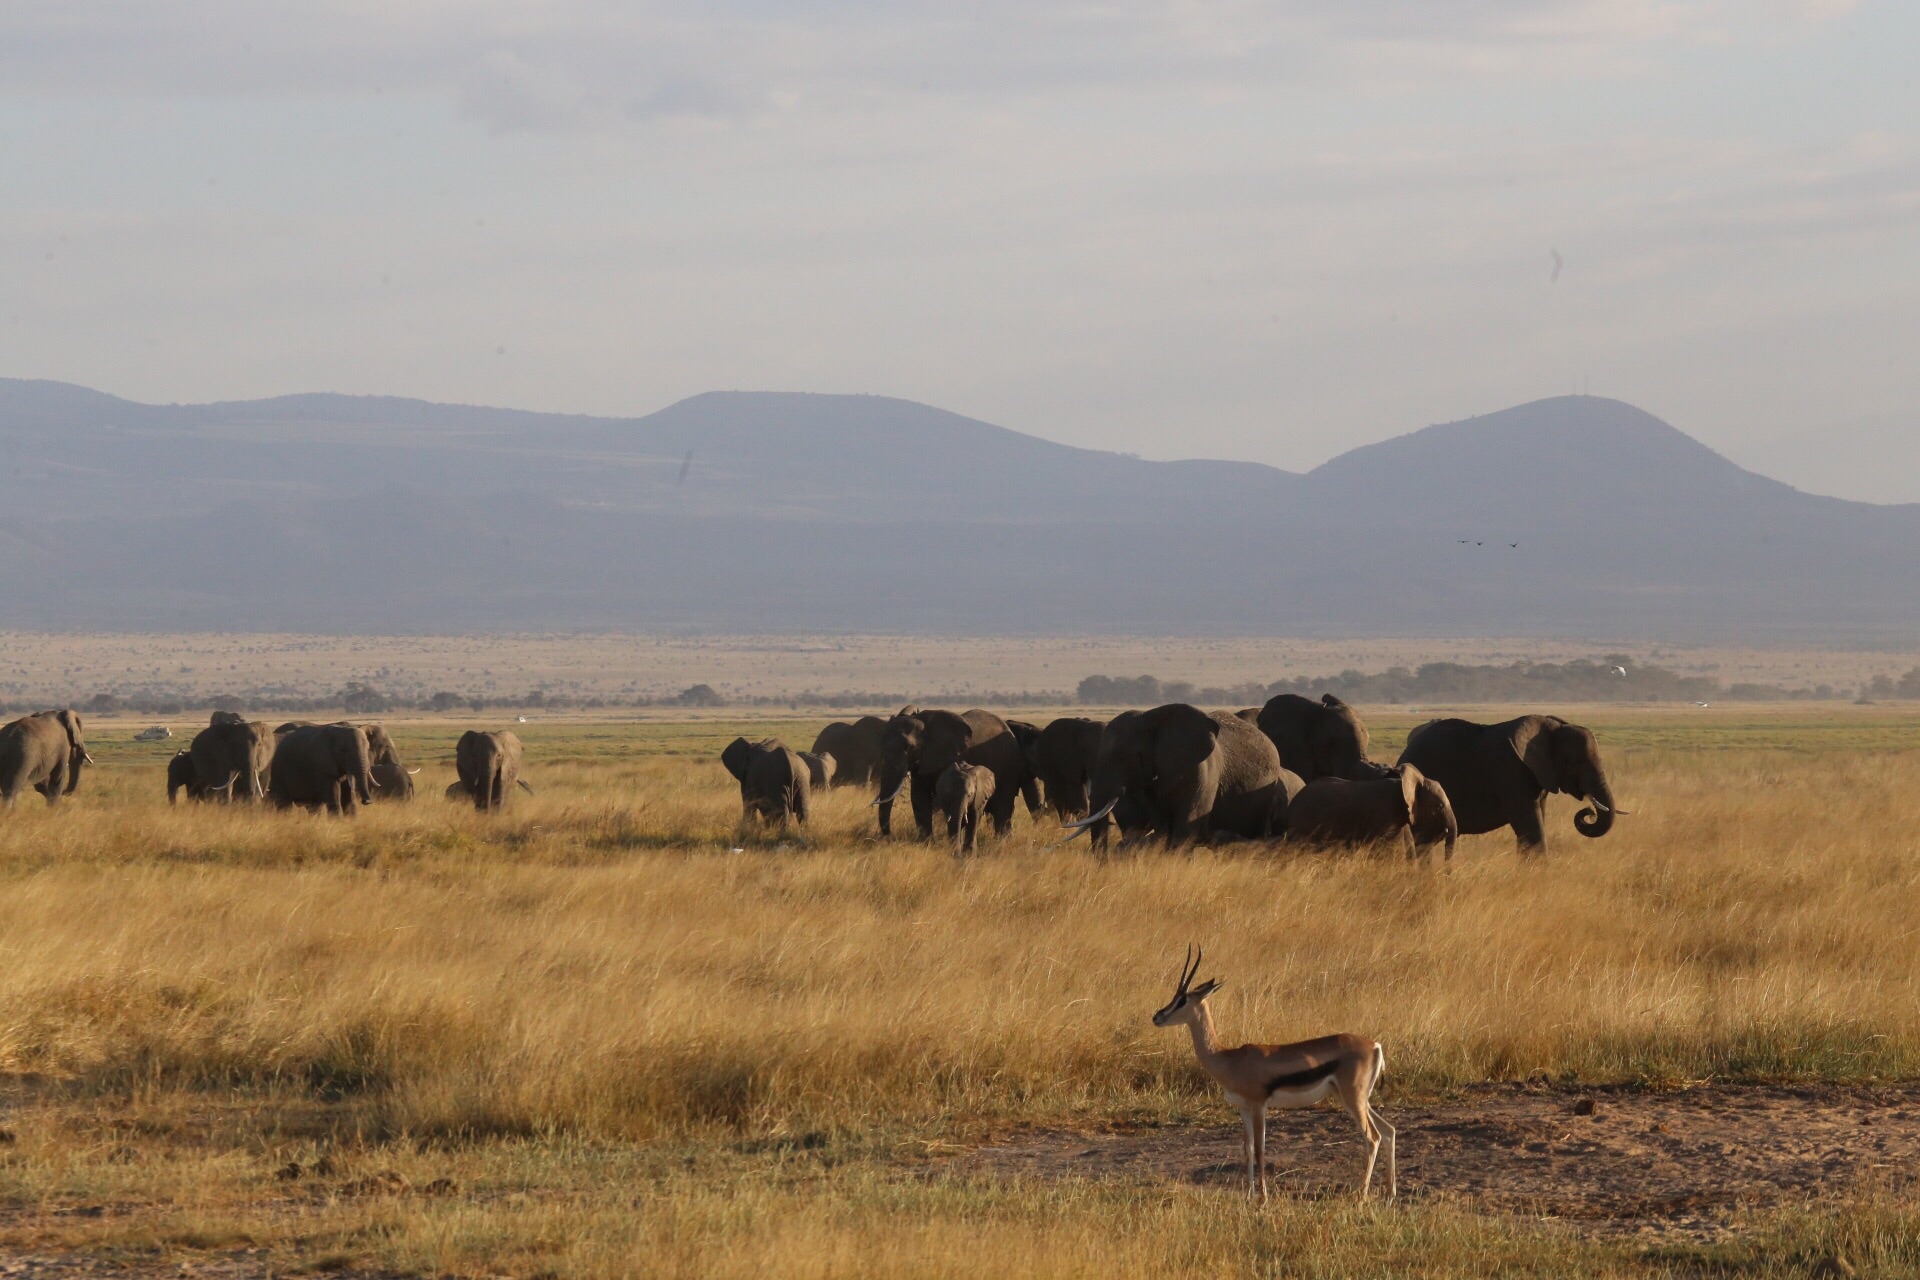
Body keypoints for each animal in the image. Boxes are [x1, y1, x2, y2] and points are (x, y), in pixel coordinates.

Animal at [879, 710, 1036, 840]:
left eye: (907, 747)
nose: (889, 837)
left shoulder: (954, 755)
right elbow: (919, 797)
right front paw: (926, 843)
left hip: (1009, 767)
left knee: (1003, 806)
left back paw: (1001, 842)